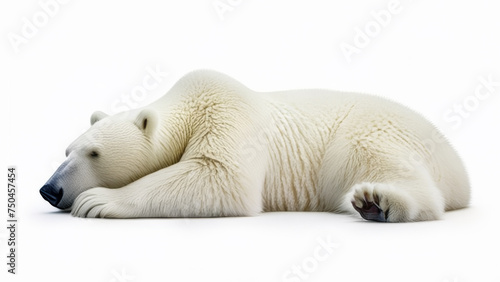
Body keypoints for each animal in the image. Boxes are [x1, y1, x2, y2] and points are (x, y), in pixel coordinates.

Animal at [39, 69, 468, 221]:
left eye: (94, 153)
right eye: (67, 150)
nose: (49, 189)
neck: (191, 102)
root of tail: (461, 172)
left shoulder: (228, 116)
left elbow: (219, 176)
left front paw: (97, 200)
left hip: (372, 130)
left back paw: (376, 202)